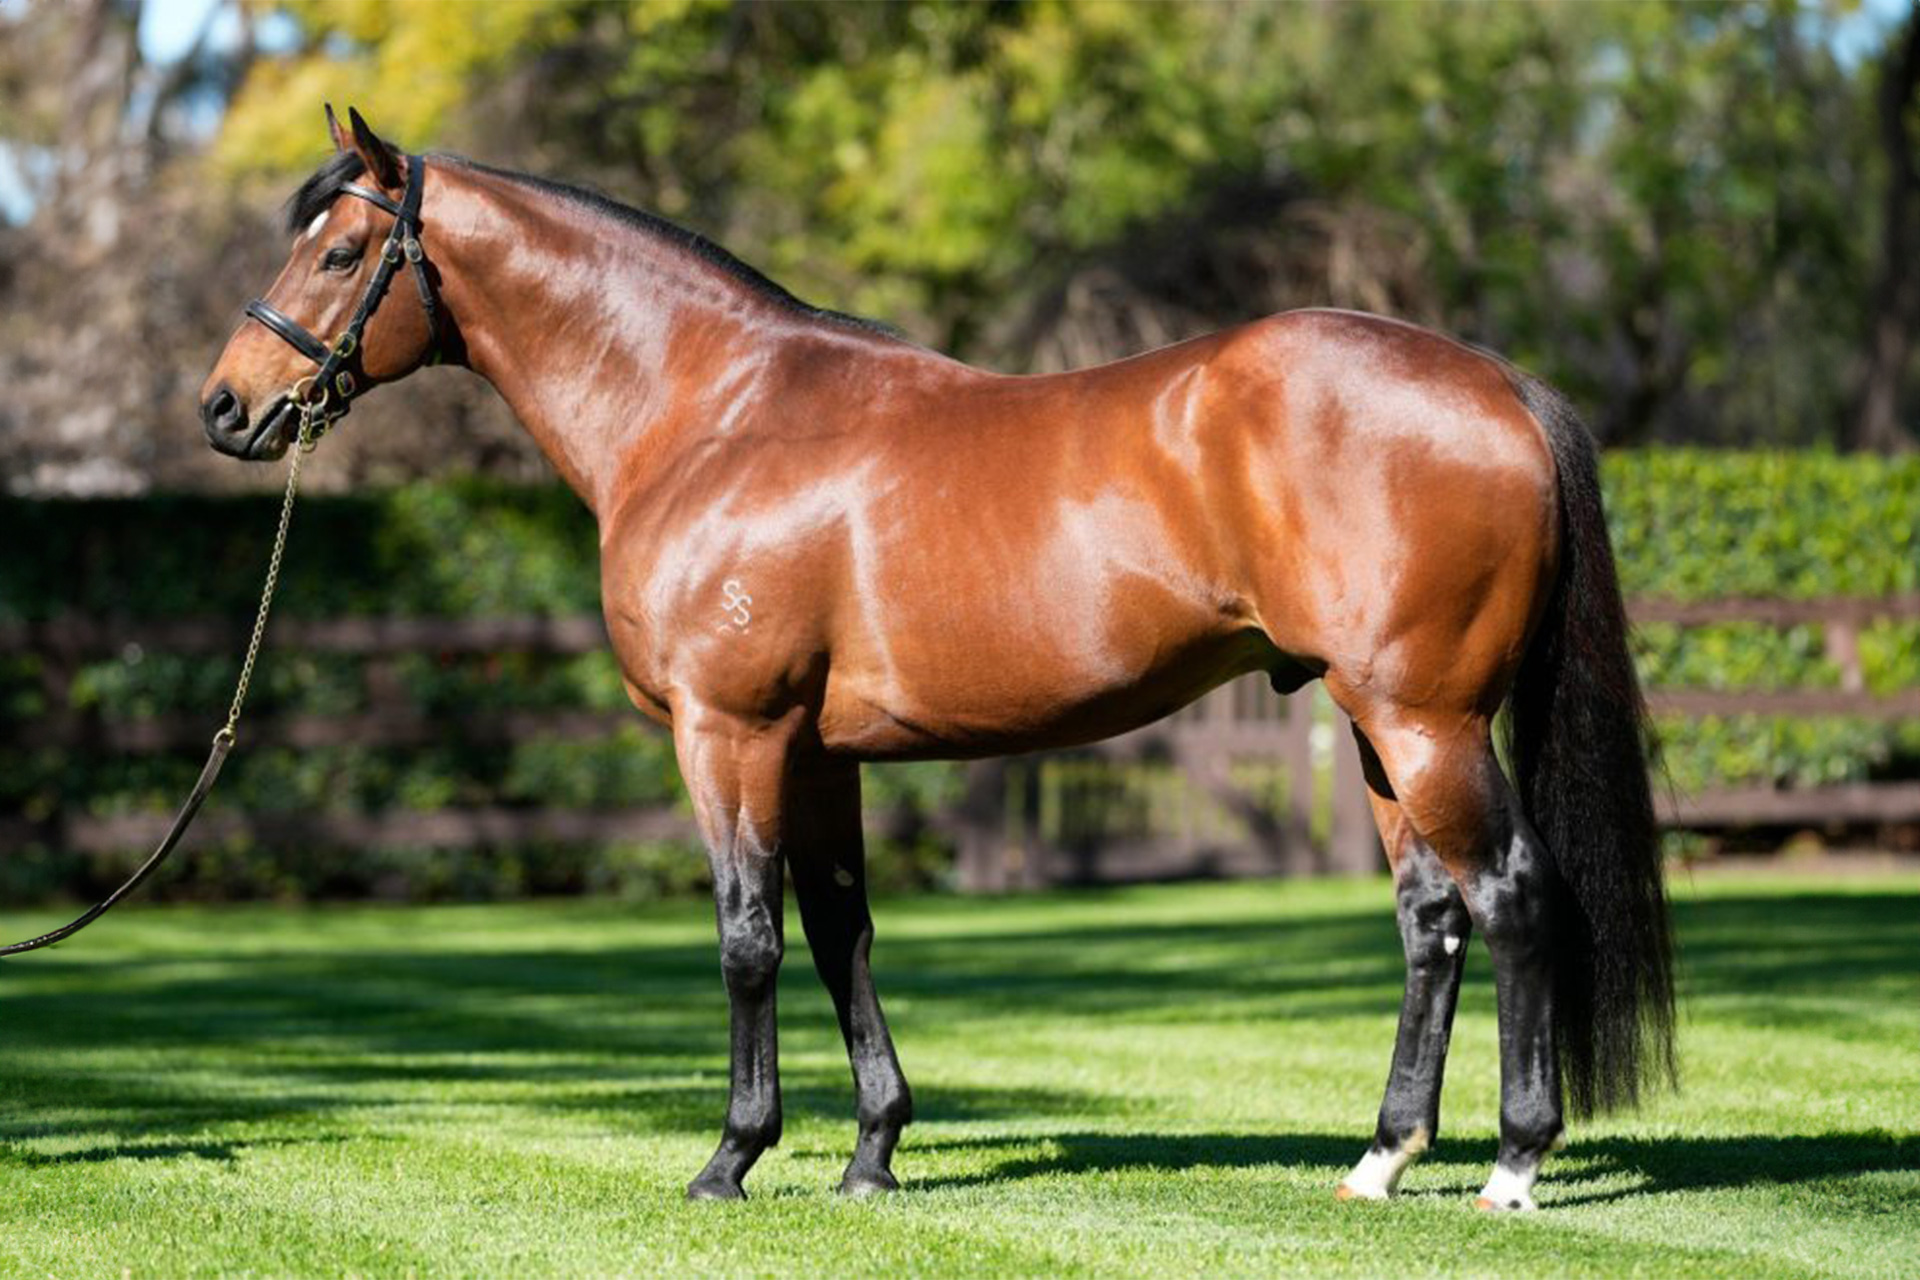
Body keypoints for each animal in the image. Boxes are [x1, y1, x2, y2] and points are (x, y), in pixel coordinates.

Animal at [200, 107, 1674, 1209]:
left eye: (339, 251)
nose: (225, 408)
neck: (712, 408)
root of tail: (1498, 386)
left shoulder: (728, 731)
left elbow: (747, 937)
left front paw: (731, 1158)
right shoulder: (817, 752)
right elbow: (840, 930)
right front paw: (871, 1153)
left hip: (1427, 721)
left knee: (1513, 898)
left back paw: (1513, 1165)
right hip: (1379, 728)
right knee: (1432, 917)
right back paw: (1380, 1159)